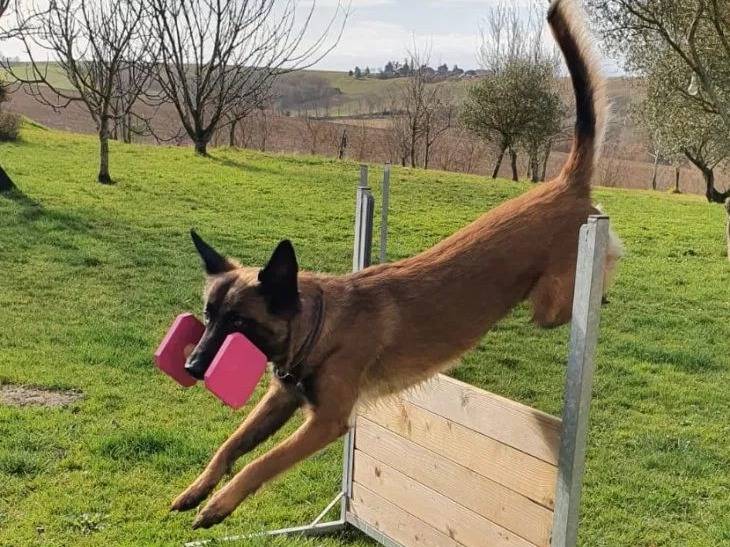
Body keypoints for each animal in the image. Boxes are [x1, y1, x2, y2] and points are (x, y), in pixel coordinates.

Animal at [171, 0, 622, 529]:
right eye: (208, 317)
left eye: (239, 322)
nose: (193, 366)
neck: (321, 325)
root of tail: (565, 185)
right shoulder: (280, 399)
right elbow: (231, 446)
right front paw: (197, 489)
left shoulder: (326, 421)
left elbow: (261, 463)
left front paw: (220, 503)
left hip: (552, 303)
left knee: (596, 274)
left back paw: (604, 283)